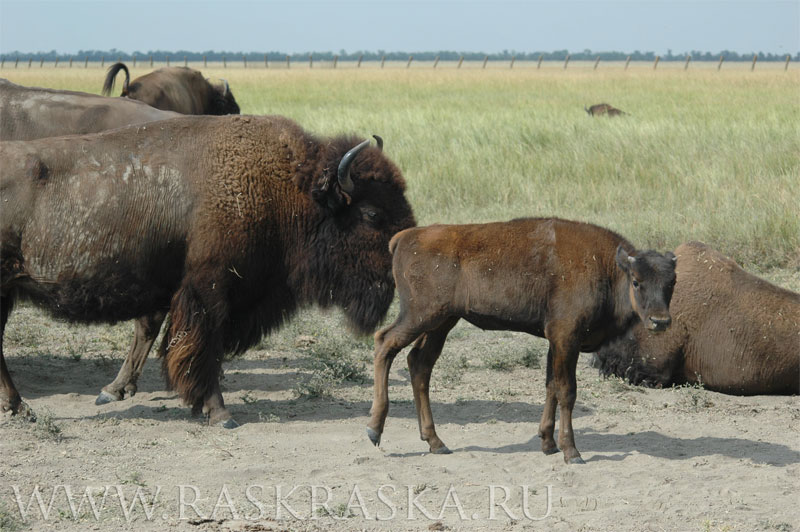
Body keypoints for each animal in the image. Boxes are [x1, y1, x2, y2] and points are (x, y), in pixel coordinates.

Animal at [4, 114, 418, 426]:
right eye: (372, 213)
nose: (403, 261)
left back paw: (20, 407)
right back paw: (20, 407)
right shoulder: (211, 289)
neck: (285, 186)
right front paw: (220, 414)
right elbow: (206, 350)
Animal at [368, 218, 676, 464]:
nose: (660, 321)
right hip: (420, 316)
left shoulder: (556, 342)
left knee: (419, 364)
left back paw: (436, 442)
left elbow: (551, 386)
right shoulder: (566, 338)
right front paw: (571, 452)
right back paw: (374, 429)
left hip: (441, 323)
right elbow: (567, 391)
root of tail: (406, 236)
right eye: (636, 281)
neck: (607, 266)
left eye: (671, 283)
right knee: (385, 343)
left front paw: (548, 444)